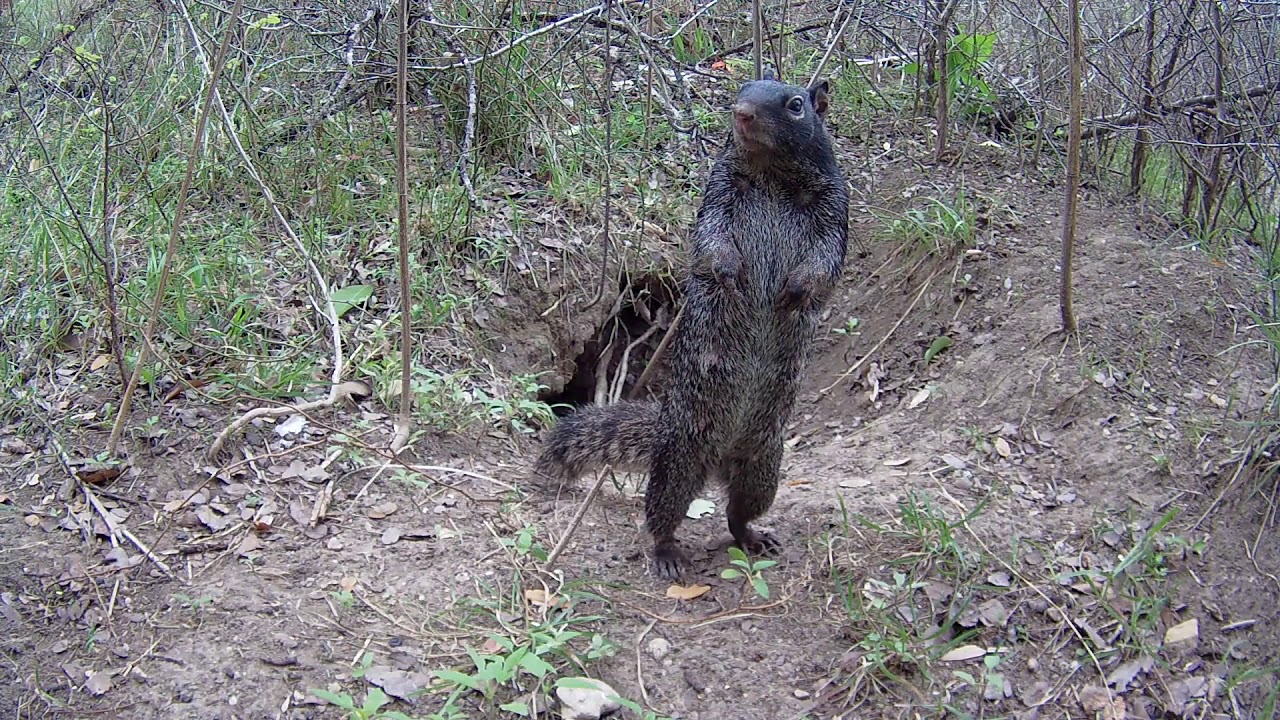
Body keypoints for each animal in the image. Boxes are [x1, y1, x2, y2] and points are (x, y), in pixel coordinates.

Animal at [535, 73, 849, 580]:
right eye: (743, 88)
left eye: (796, 105)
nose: (741, 112)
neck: (772, 173)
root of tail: (715, 458)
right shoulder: (719, 191)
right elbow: (713, 238)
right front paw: (730, 272)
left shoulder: (834, 205)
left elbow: (824, 261)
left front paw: (795, 289)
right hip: (680, 464)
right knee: (662, 514)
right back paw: (666, 554)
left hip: (763, 467)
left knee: (737, 513)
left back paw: (752, 536)